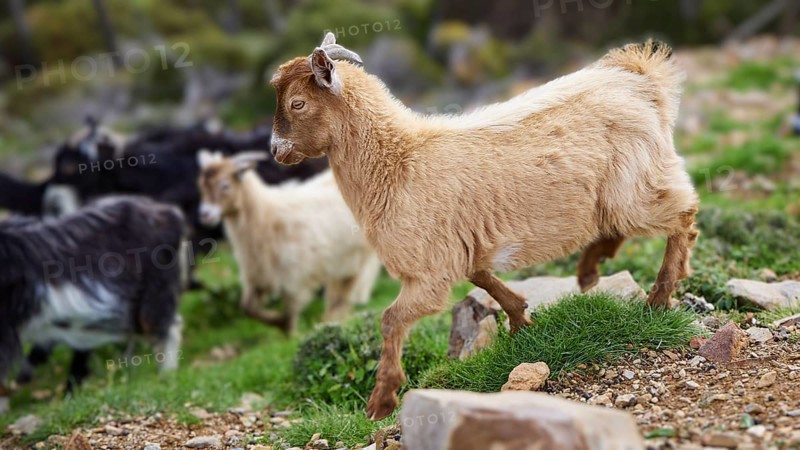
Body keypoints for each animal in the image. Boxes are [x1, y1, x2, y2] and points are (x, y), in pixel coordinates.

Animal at [196, 150, 381, 335]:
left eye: (225, 185)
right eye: (202, 185)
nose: (205, 215)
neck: (267, 216)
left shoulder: (294, 280)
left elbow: (288, 316)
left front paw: (293, 334)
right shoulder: (258, 277)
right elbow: (249, 309)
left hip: (356, 259)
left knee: (343, 296)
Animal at [268, 34, 698, 420]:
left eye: (297, 103)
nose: (275, 151)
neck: (399, 162)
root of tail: (640, 79)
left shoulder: (428, 274)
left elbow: (390, 320)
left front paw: (382, 402)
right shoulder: (459, 248)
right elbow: (481, 277)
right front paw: (521, 320)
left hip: (638, 184)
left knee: (684, 216)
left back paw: (658, 297)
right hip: (619, 192)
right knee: (629, 223)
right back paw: (592, 268)